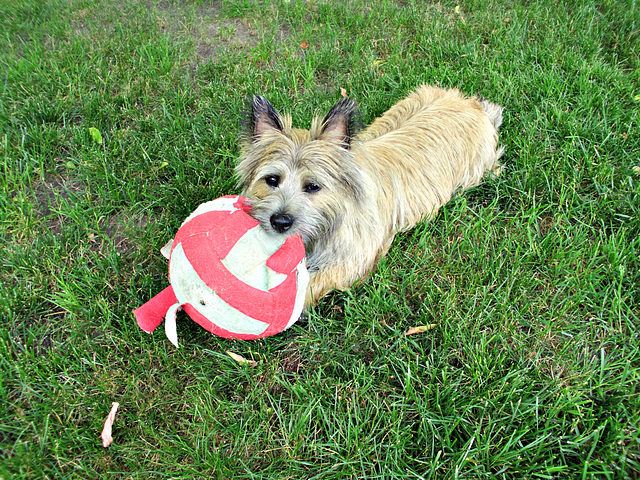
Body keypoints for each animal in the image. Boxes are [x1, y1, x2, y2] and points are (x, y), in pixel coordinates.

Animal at [236, 84, 504, 306]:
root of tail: (471, 104)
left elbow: (312, 285)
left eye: (312, 186)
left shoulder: (351, 260)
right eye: (272, 180)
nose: (280, 222)